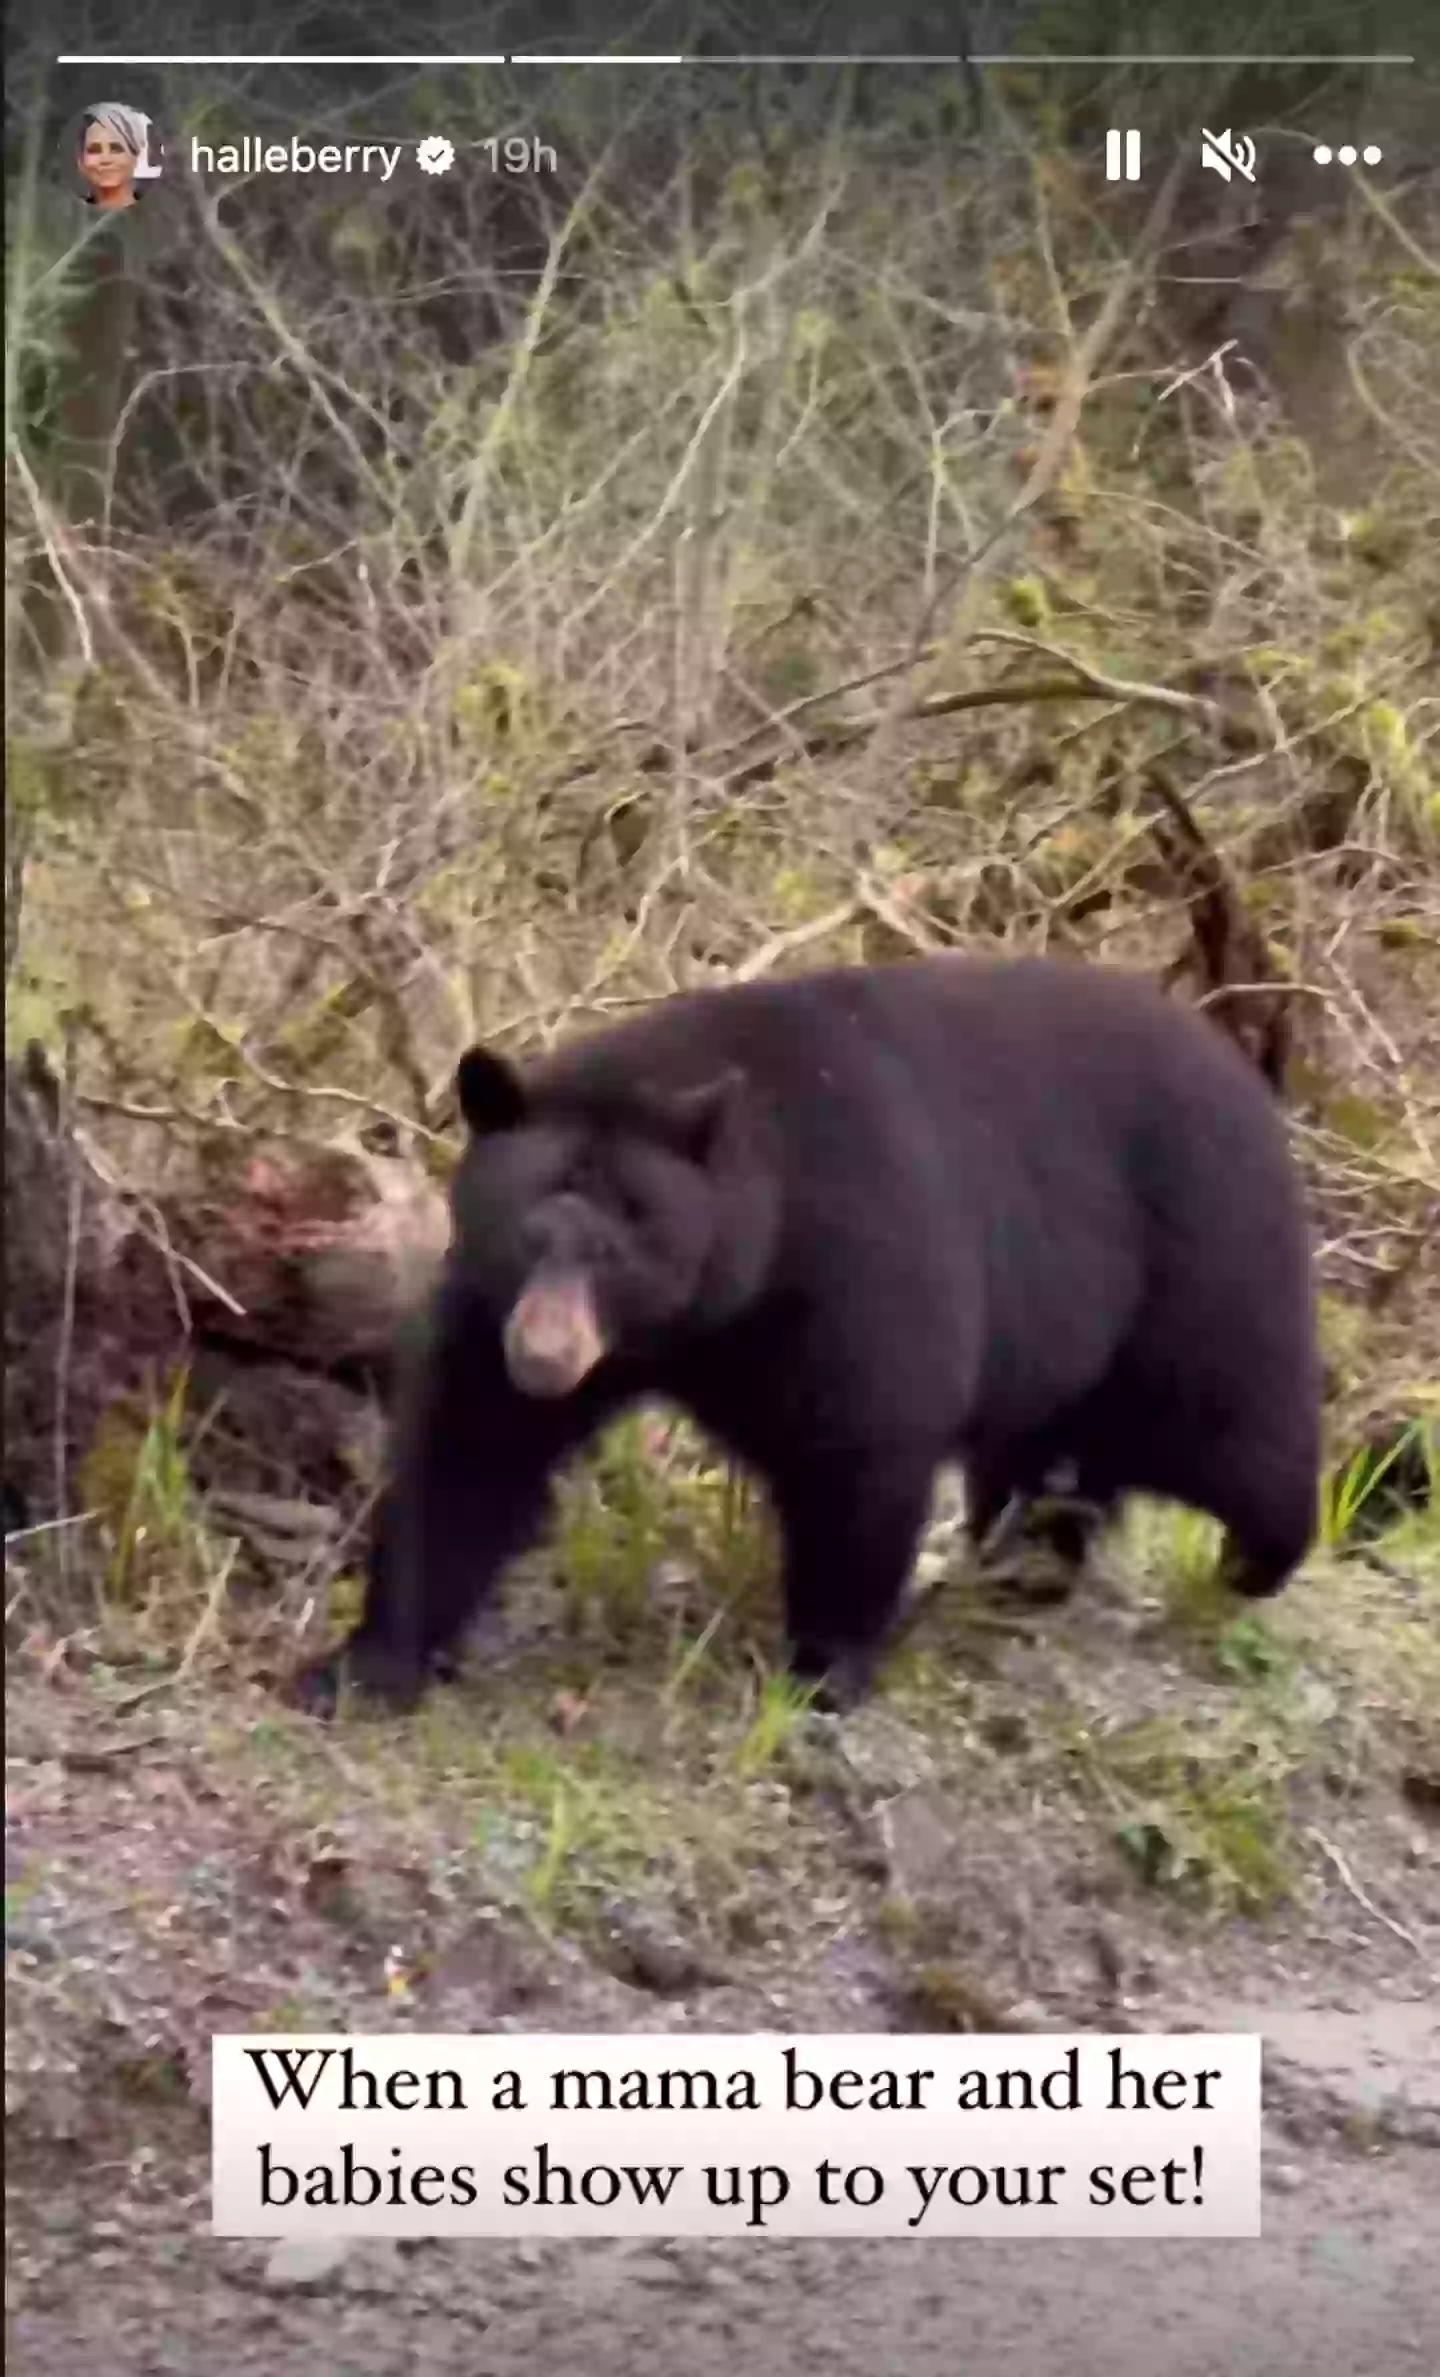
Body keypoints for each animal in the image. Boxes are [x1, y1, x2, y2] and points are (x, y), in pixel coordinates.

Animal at [293, 952, 1323, 1718]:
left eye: (619, 1254)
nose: (544, 1359)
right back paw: (1023, 1567)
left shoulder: (852, 1255)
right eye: (524, 1236)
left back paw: (1257, 1556)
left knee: (1223, 1420)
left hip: (1195, 1259)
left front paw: (824, 1667)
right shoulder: (500, 1314)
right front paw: (360, 1666)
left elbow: (862, 1446)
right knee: (1049, 1457)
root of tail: (1244, 1071)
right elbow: (471, 1451)